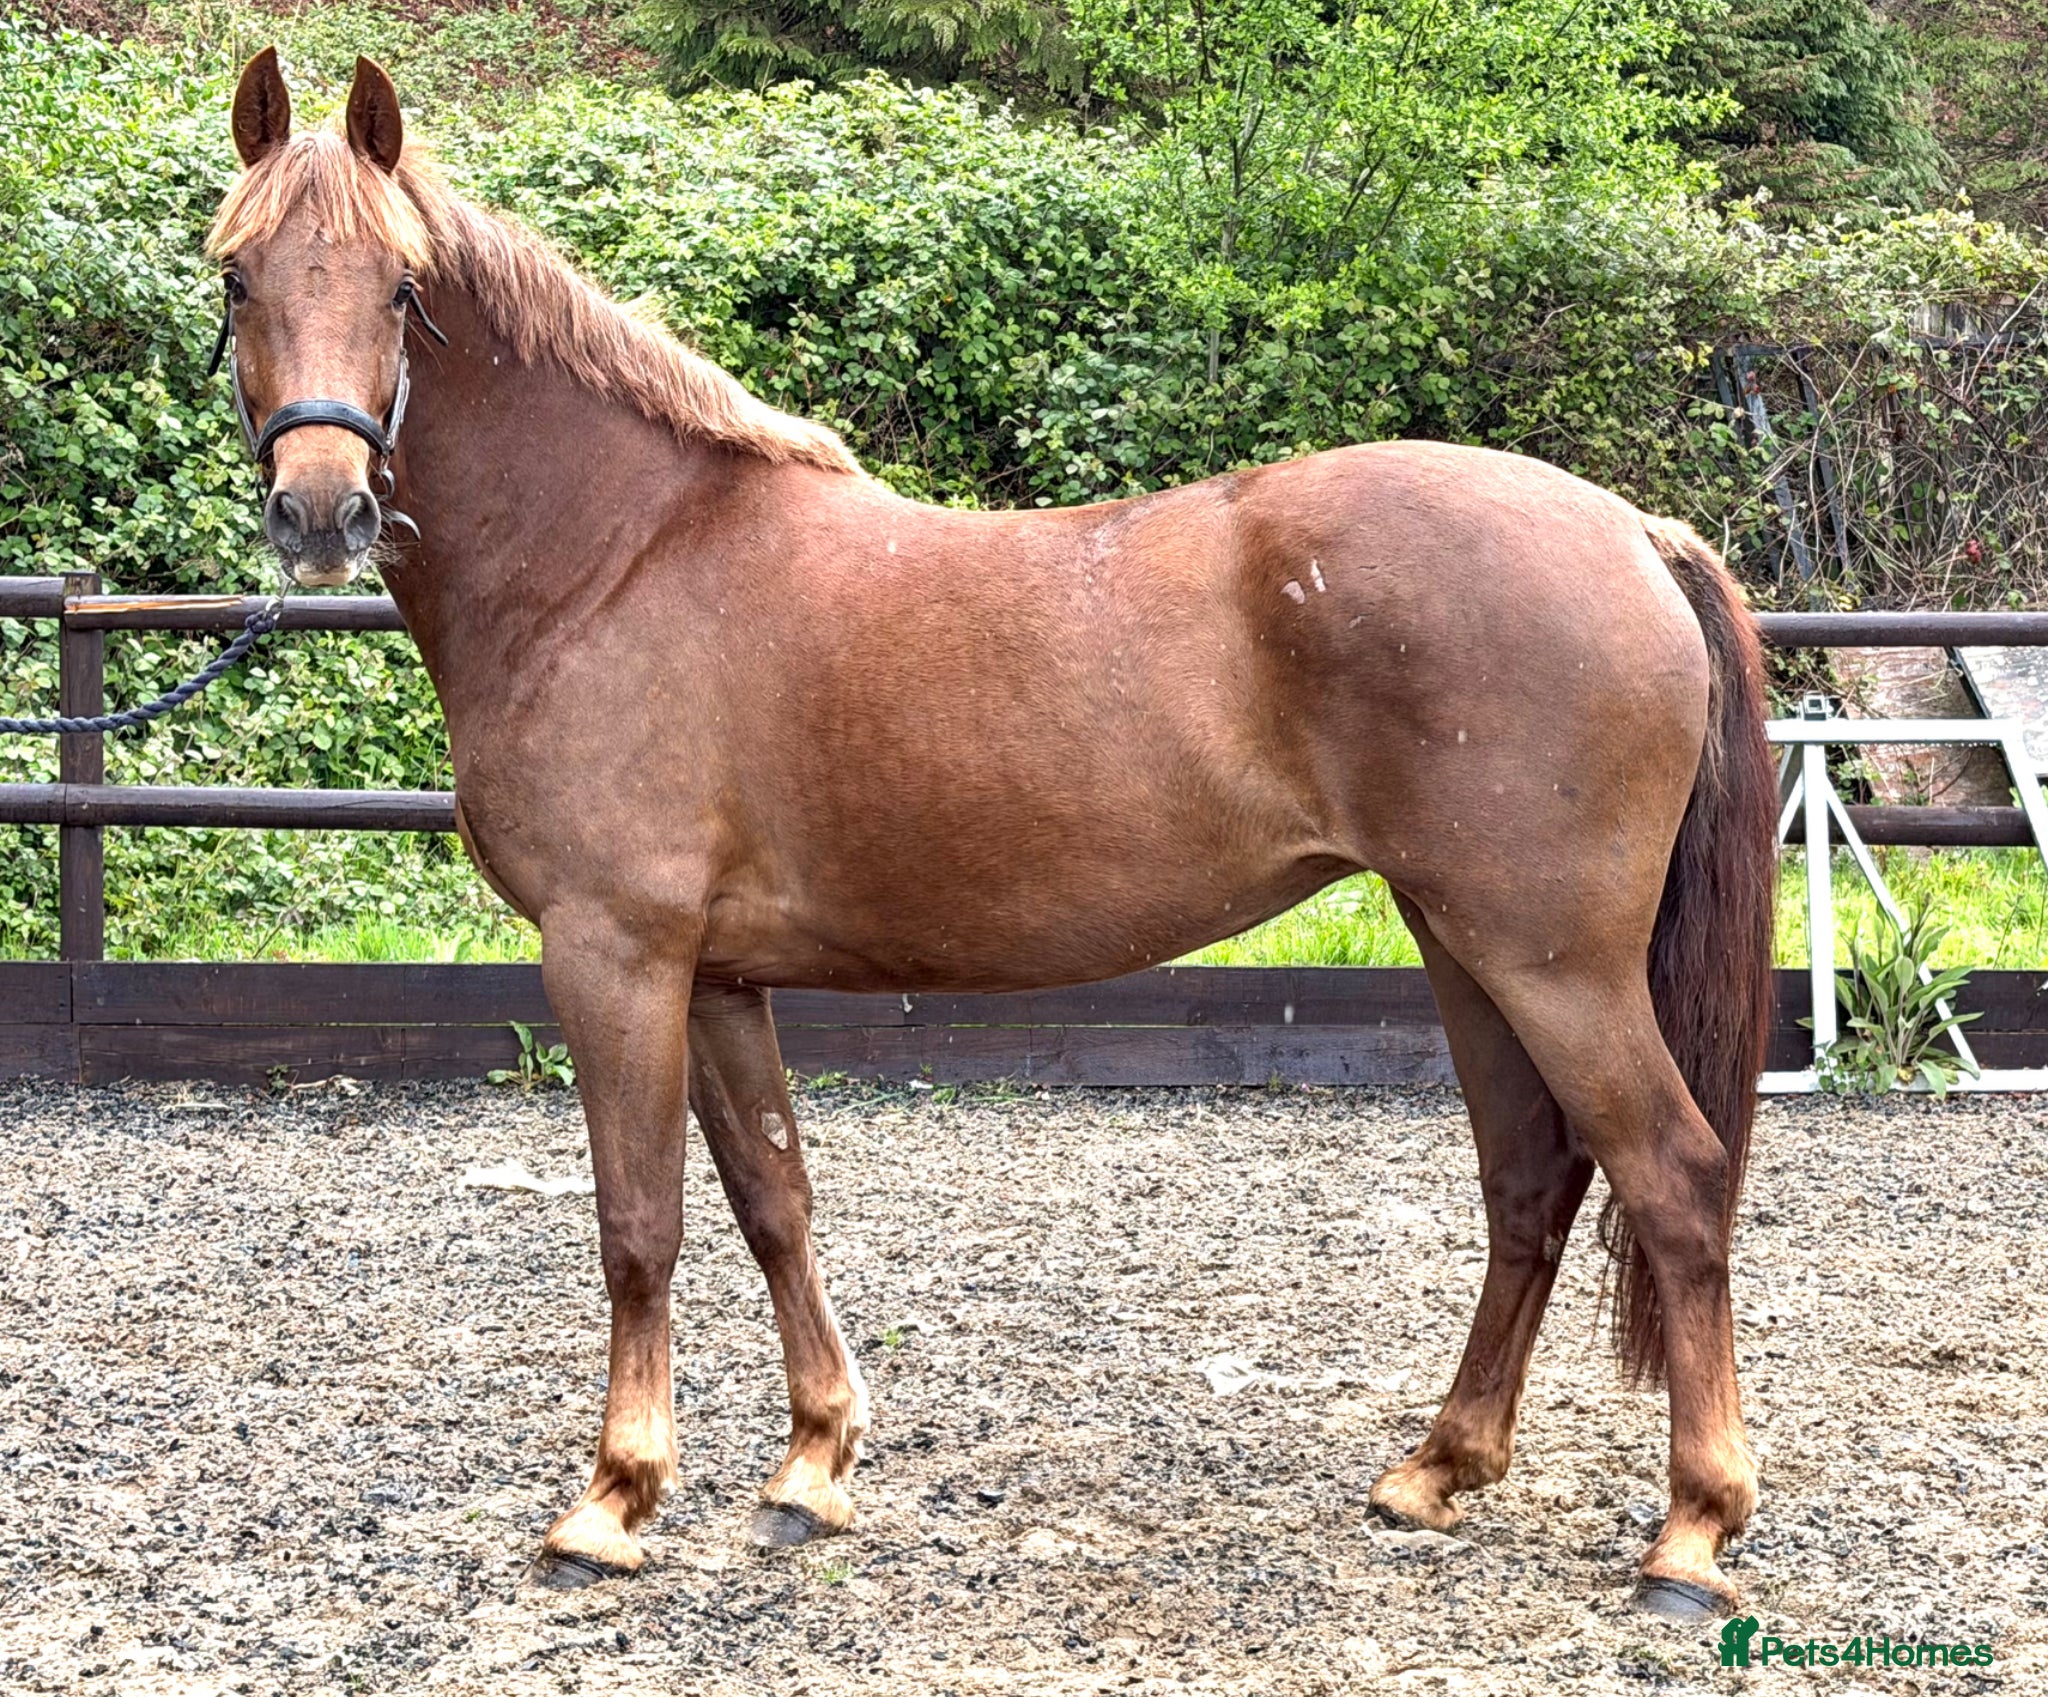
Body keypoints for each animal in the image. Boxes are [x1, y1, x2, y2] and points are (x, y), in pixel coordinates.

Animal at [203, 49, 1777, 1616]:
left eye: (402, 286)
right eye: (238, 275)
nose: (321, 511)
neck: (619, 558)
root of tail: (1634, 532)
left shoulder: (615, 954)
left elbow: (637, 1222)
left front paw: (612, 1497)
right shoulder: (716, 976)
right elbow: (773, 1195)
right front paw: (810, 1467)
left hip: (1551, 959)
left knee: (1674, 1179)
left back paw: (1691, 1535)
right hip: (1465, 943)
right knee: (1531, 1179)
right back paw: (1437, 1468)